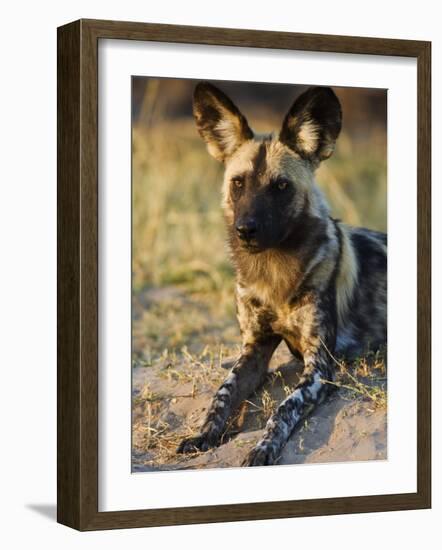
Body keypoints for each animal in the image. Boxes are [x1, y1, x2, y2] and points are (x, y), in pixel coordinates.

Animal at [177, 83, 386, 470]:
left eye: (281, 186)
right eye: (238, 183)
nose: (246, 230)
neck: (273, 273)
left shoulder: (319, 368)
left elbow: (284, 407)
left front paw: (264, 447)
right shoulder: (254, 349)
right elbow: (221, 394)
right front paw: (204, 434)